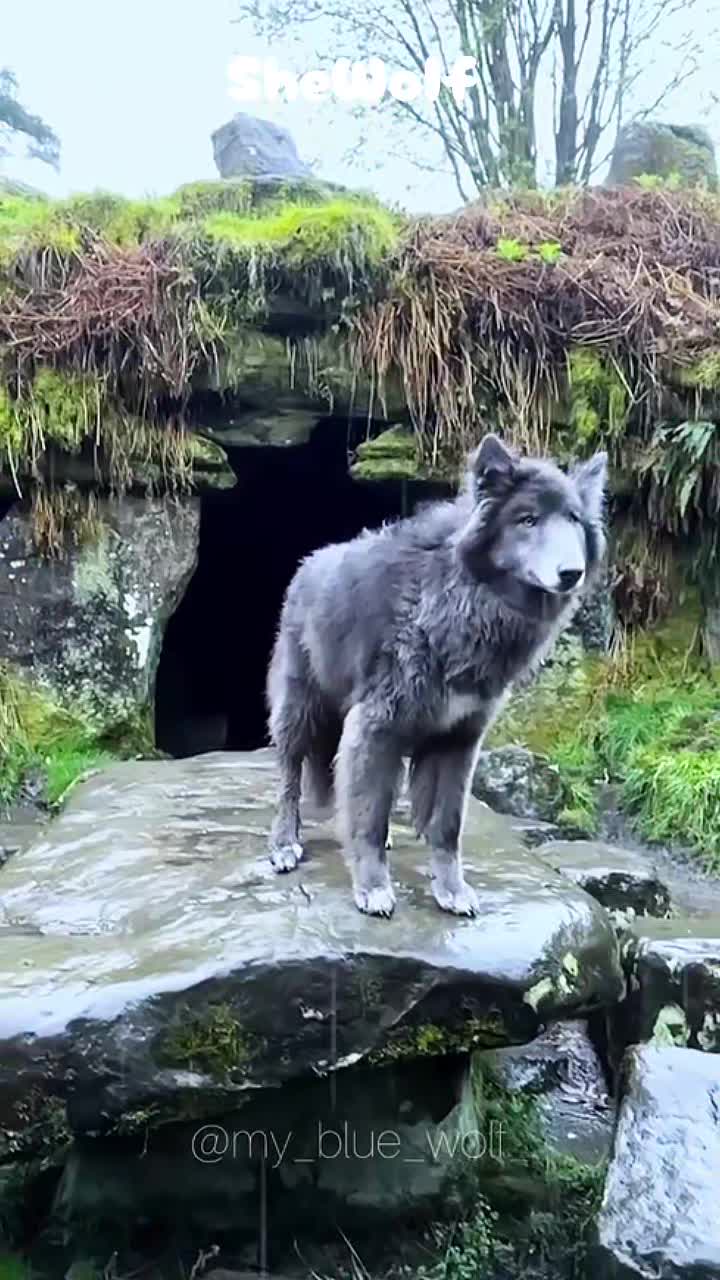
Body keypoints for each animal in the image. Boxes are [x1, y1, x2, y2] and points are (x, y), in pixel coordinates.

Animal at [266, 434, 607, 918]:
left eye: (574, 520)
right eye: (527, 519)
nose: (571, 574)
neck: (463, 599)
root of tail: (307, 564)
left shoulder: (458, 739)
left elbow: (446, 825)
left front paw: (451, 890)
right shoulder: (377, 725)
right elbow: (368, 820)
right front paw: (373, 887)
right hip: (301, 711)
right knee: (289, 780)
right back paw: (284, 843)